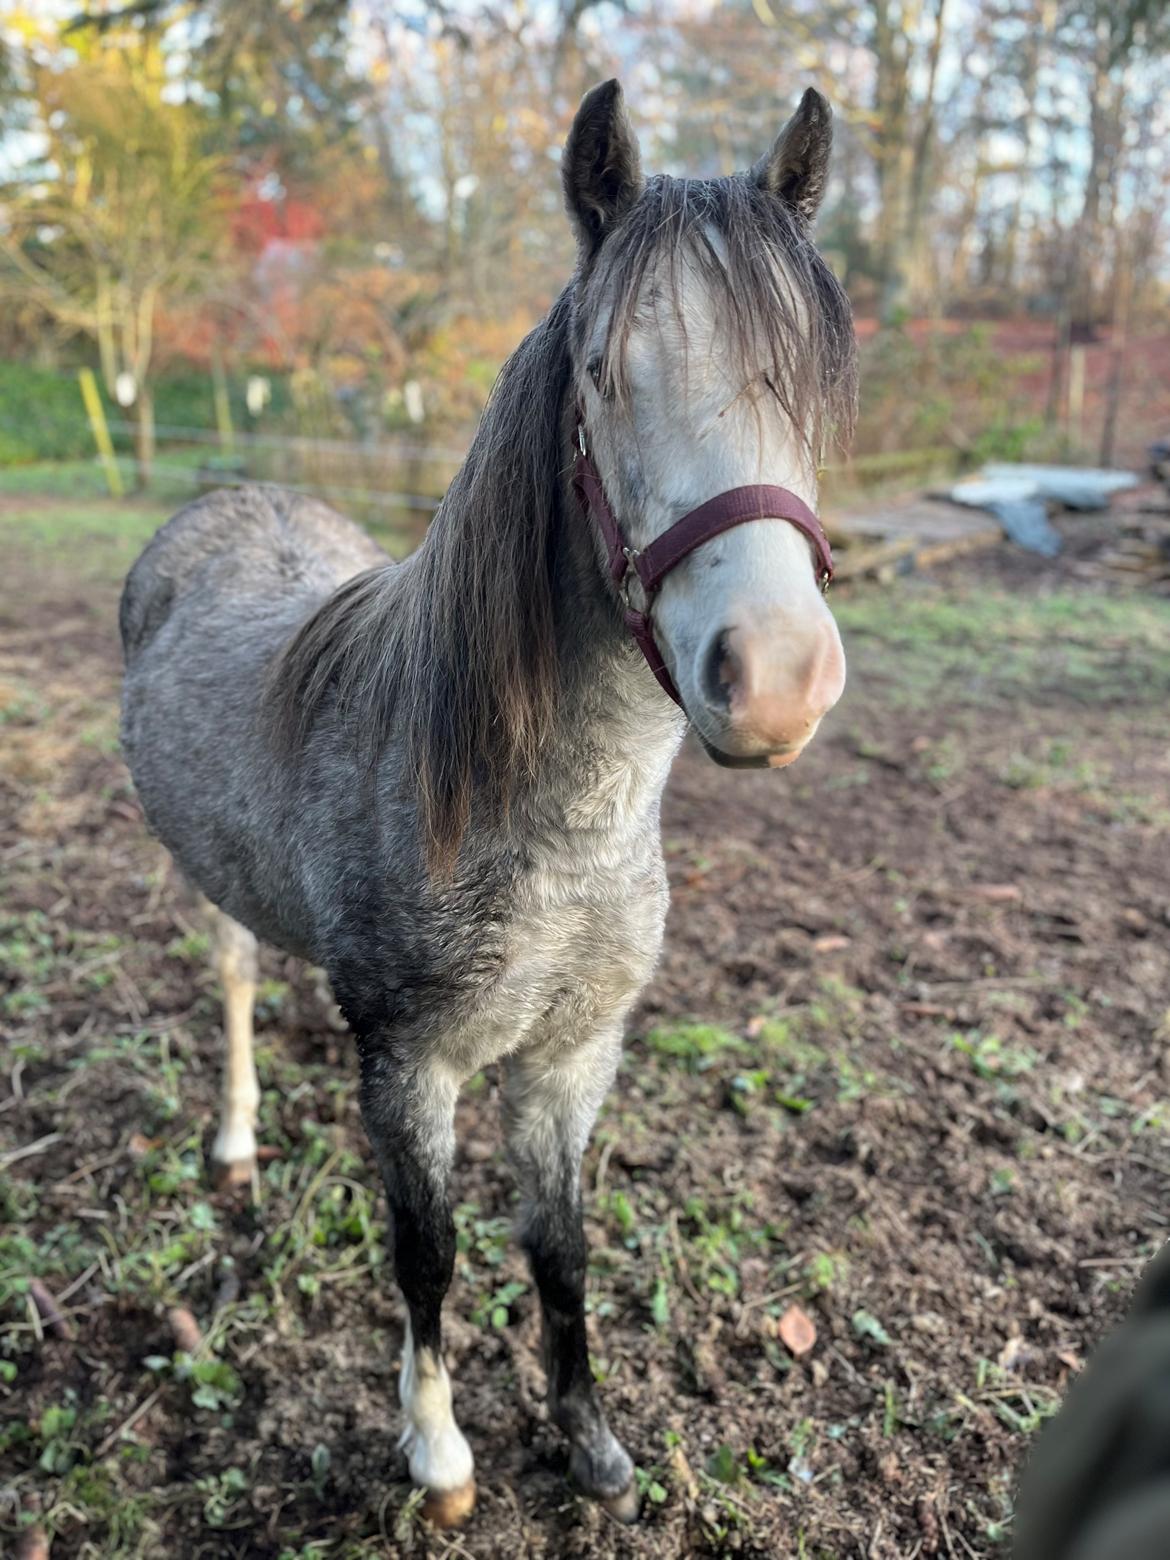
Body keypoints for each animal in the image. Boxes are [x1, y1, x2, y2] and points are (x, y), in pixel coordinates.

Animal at [118, 79, 857, 1527]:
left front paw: (592, 1445)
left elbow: (558, 1250)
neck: (551, 822)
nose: (778, 679)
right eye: (602, 376)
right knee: (230, 978)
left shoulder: (572, 1057)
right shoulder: (413, 1065)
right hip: (202, 872)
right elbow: (430, 1255)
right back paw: (234, 1143)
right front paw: (439, 1454)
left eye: (812, 379)